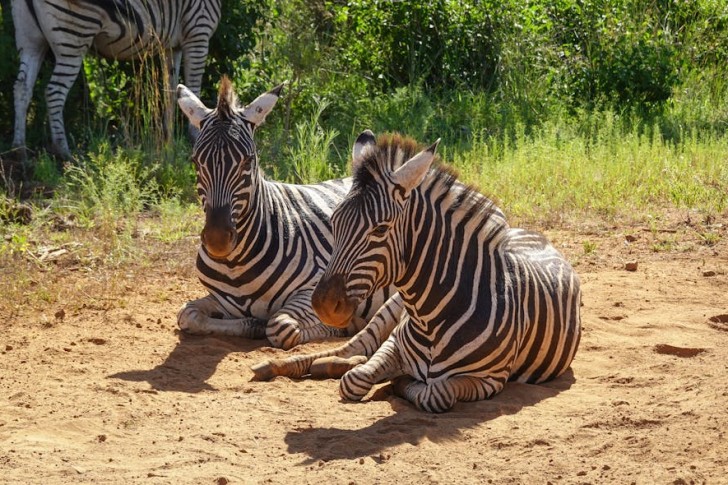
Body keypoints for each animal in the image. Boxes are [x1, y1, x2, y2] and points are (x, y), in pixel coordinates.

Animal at [11, 0, 221, 160]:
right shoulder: (198, 32)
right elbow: (193, 88)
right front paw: (195, 137)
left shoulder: (171, 45)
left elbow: (171, 92)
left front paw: (168, 141)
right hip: (74, 36)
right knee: (54, 92)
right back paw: (64, 152)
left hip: (31, 39)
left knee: (22, 88)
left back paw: (19, 150)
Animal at [175, 77, 402, 375]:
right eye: (195, 161)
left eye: (248, 160)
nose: (217, 240)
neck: (236, 265)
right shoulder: (221, 299)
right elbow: (187, 315)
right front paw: (252, 324)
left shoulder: (314, 288)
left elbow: (282, 328)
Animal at [310, 131, 582, 412]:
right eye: (334, 222)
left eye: (380, 229)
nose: (323, 305)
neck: (430, 321)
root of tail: (535, 234)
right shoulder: (394, 345)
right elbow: (353, 381)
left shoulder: (490, 379)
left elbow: (434, 394)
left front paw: (399, 382)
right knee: (356, 348)